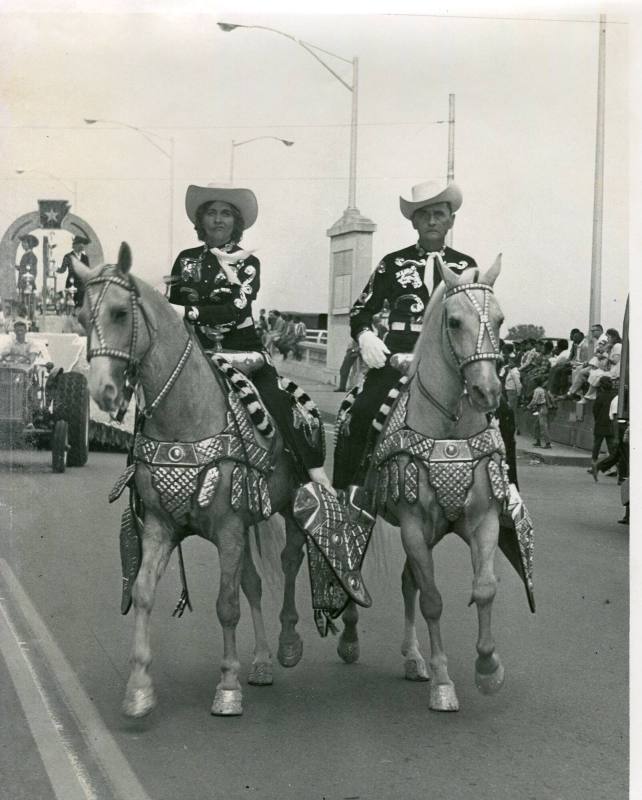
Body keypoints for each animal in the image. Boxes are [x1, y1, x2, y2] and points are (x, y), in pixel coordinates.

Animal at [74, 245, 312, 720]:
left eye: (119, 313)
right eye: (82, 316)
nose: (103, 391)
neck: (185, 418)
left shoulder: (229, 529)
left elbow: (226, 605)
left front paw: (227, 687)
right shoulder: (161, 527)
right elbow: (144, 593)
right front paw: (139, 689)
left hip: (289, 506)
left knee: (290, 560)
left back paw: (287, 644)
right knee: (254, 583)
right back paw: (261, 662)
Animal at [338, 253, 516, 708]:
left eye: (501, 320)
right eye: (454, 322)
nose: (487, 392)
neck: (449, 426)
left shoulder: (482, 520)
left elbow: (484, 587)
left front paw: (488, 669)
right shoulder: (414, 524)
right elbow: (433, 599)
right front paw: (443, 682)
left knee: (407, 583)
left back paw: (413, 657)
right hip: (362, 509)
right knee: (355, 569)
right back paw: (351, 639)